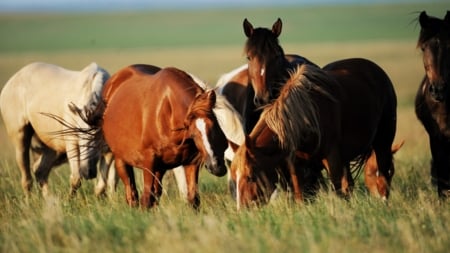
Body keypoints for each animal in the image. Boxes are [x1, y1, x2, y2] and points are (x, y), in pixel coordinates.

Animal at [0, 62, 112, 197]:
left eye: (99, 138)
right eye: (78, 134)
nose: (88, 172)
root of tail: (12, 80)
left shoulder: (109, 149)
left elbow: (102, 185)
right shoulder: (72, 143)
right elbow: (76, 179)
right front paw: (69, 200)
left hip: (50, 144)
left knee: (40, 171)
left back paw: (49, 199)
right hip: (20, 137)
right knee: (26, 178)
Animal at [87, 64, 243, 209]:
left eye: (215, 126)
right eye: (193, 133)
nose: (216, 166)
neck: (167, 113)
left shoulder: (191, 162)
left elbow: (193, 199)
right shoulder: (149, 163)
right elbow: (146, 199)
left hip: (160, 168)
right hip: (121, 160)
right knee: (132, 194)